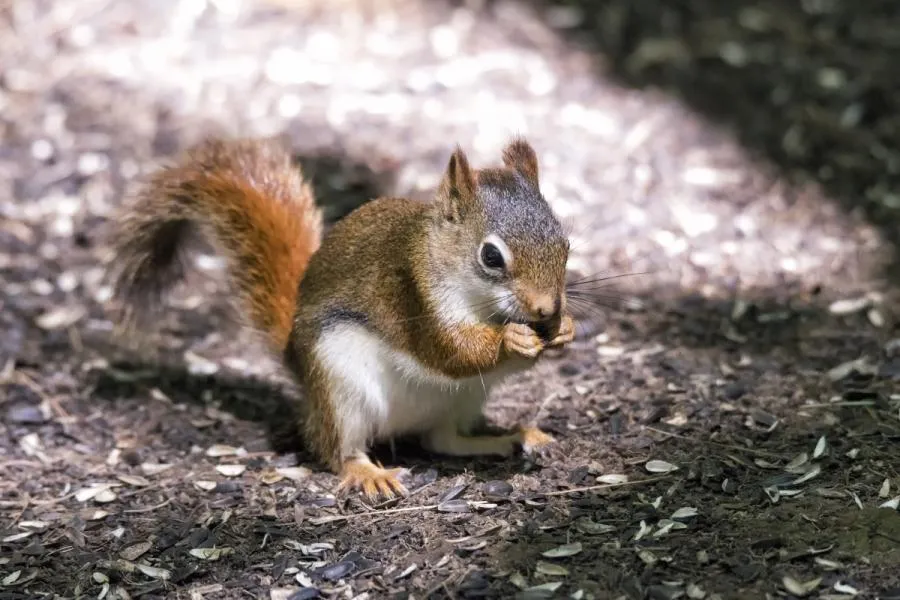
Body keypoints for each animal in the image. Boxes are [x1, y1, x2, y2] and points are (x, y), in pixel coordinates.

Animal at [109, 137, 572, 502]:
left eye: (565, 243)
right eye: (491, 256)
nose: (547, 310)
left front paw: (565, 330)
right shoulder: (409, 295)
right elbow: (451, 352)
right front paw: (511, 339)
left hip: (464, 400)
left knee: (444, 441)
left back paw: (509, 437)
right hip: (338, 386)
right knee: (338, 449)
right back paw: (367, 472)